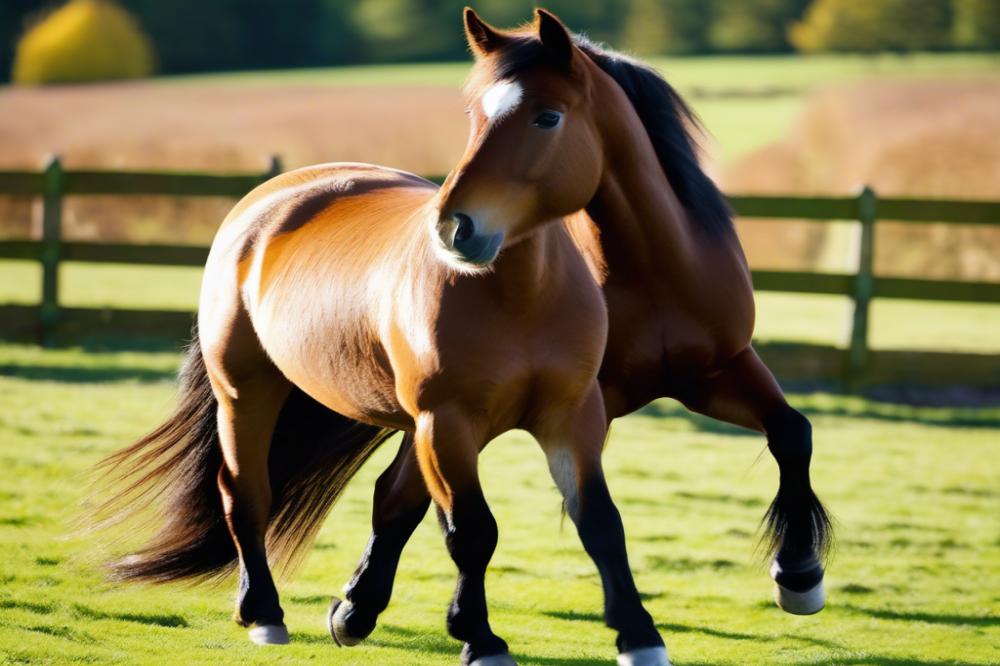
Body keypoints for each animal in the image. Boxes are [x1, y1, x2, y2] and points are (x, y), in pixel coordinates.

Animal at [92, 18, 680, 664]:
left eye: (548, 116)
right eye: (475, 114)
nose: (455, 227)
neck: (521, 297)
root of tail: (266, 201)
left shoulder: (571, 418)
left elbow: (599, 523)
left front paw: (639, 636)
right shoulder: (446, 424)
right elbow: (472, 532)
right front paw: (480, 638)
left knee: (381, 498)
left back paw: (347, 611)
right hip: (246, 393)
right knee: (245, 493)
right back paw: (265, 613)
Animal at [324, 9, 832, 652]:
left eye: (548, 116)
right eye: (474, 117)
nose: (454, 226)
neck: (652, 271)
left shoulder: (719, 368)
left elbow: (793, 433)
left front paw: (799, 575)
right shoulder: (573, 404)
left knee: (401, 491)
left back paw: (360, 605)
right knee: (402, 492)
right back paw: (360, 606)